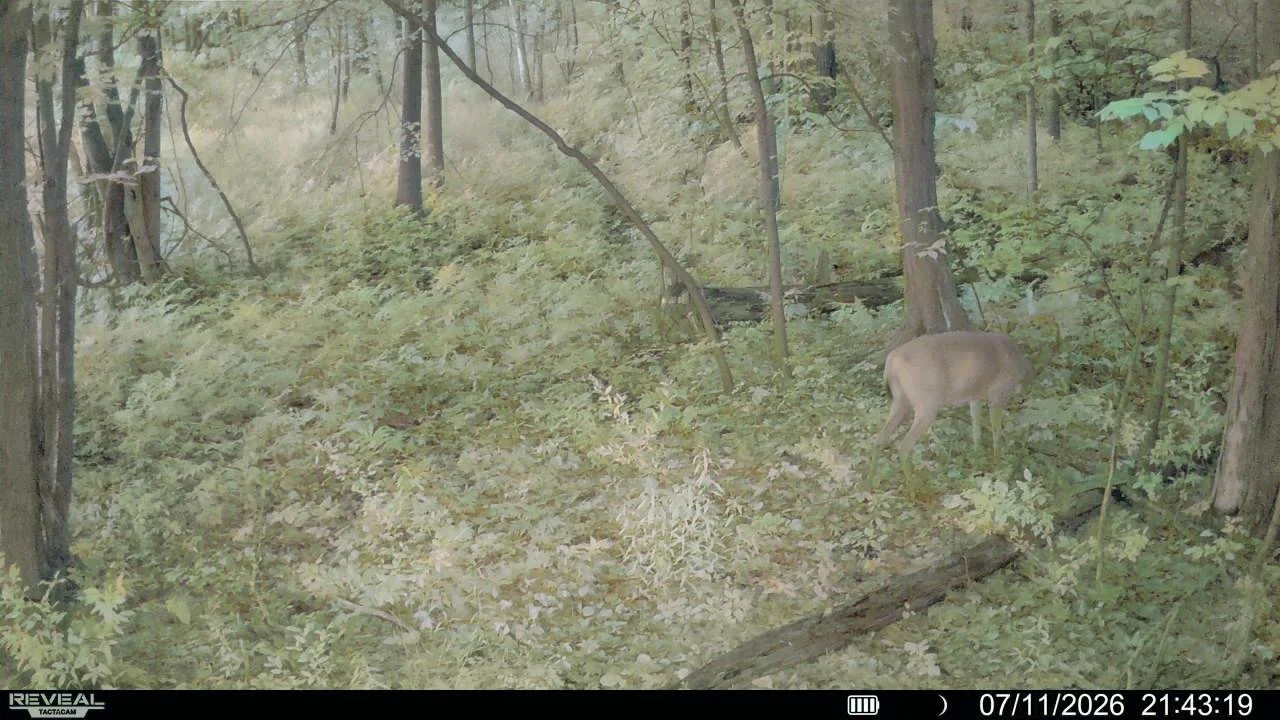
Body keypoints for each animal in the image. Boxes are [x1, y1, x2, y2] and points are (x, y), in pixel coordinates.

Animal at [869, 330, 1036, 489]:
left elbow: (976, 429)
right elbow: (996, 432)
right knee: (904, 445)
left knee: (879, 438)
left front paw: (977, 457)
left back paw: (870, 479)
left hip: (900, 400)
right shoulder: (998, 394)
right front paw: (999, 463)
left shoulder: (975, 396)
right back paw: (913, 487)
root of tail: (891, 362)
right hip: (926, 402)